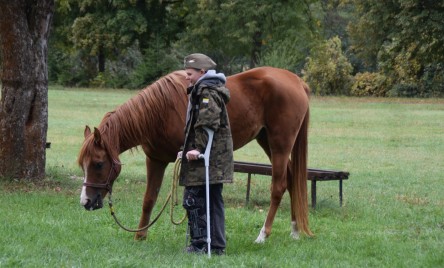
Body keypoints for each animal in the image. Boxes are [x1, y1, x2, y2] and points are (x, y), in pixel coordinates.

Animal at [77, 66, 312, 242]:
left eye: (98, 164)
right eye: (83, 165)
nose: (85, 202)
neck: (160, 112)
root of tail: (297, 81)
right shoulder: (155, 160)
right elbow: (149, 199)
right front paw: (140, 236)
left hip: (280, 144)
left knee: (279, 186)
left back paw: (263, 235)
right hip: (266, 141)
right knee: (292, 180)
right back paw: (295, 230)